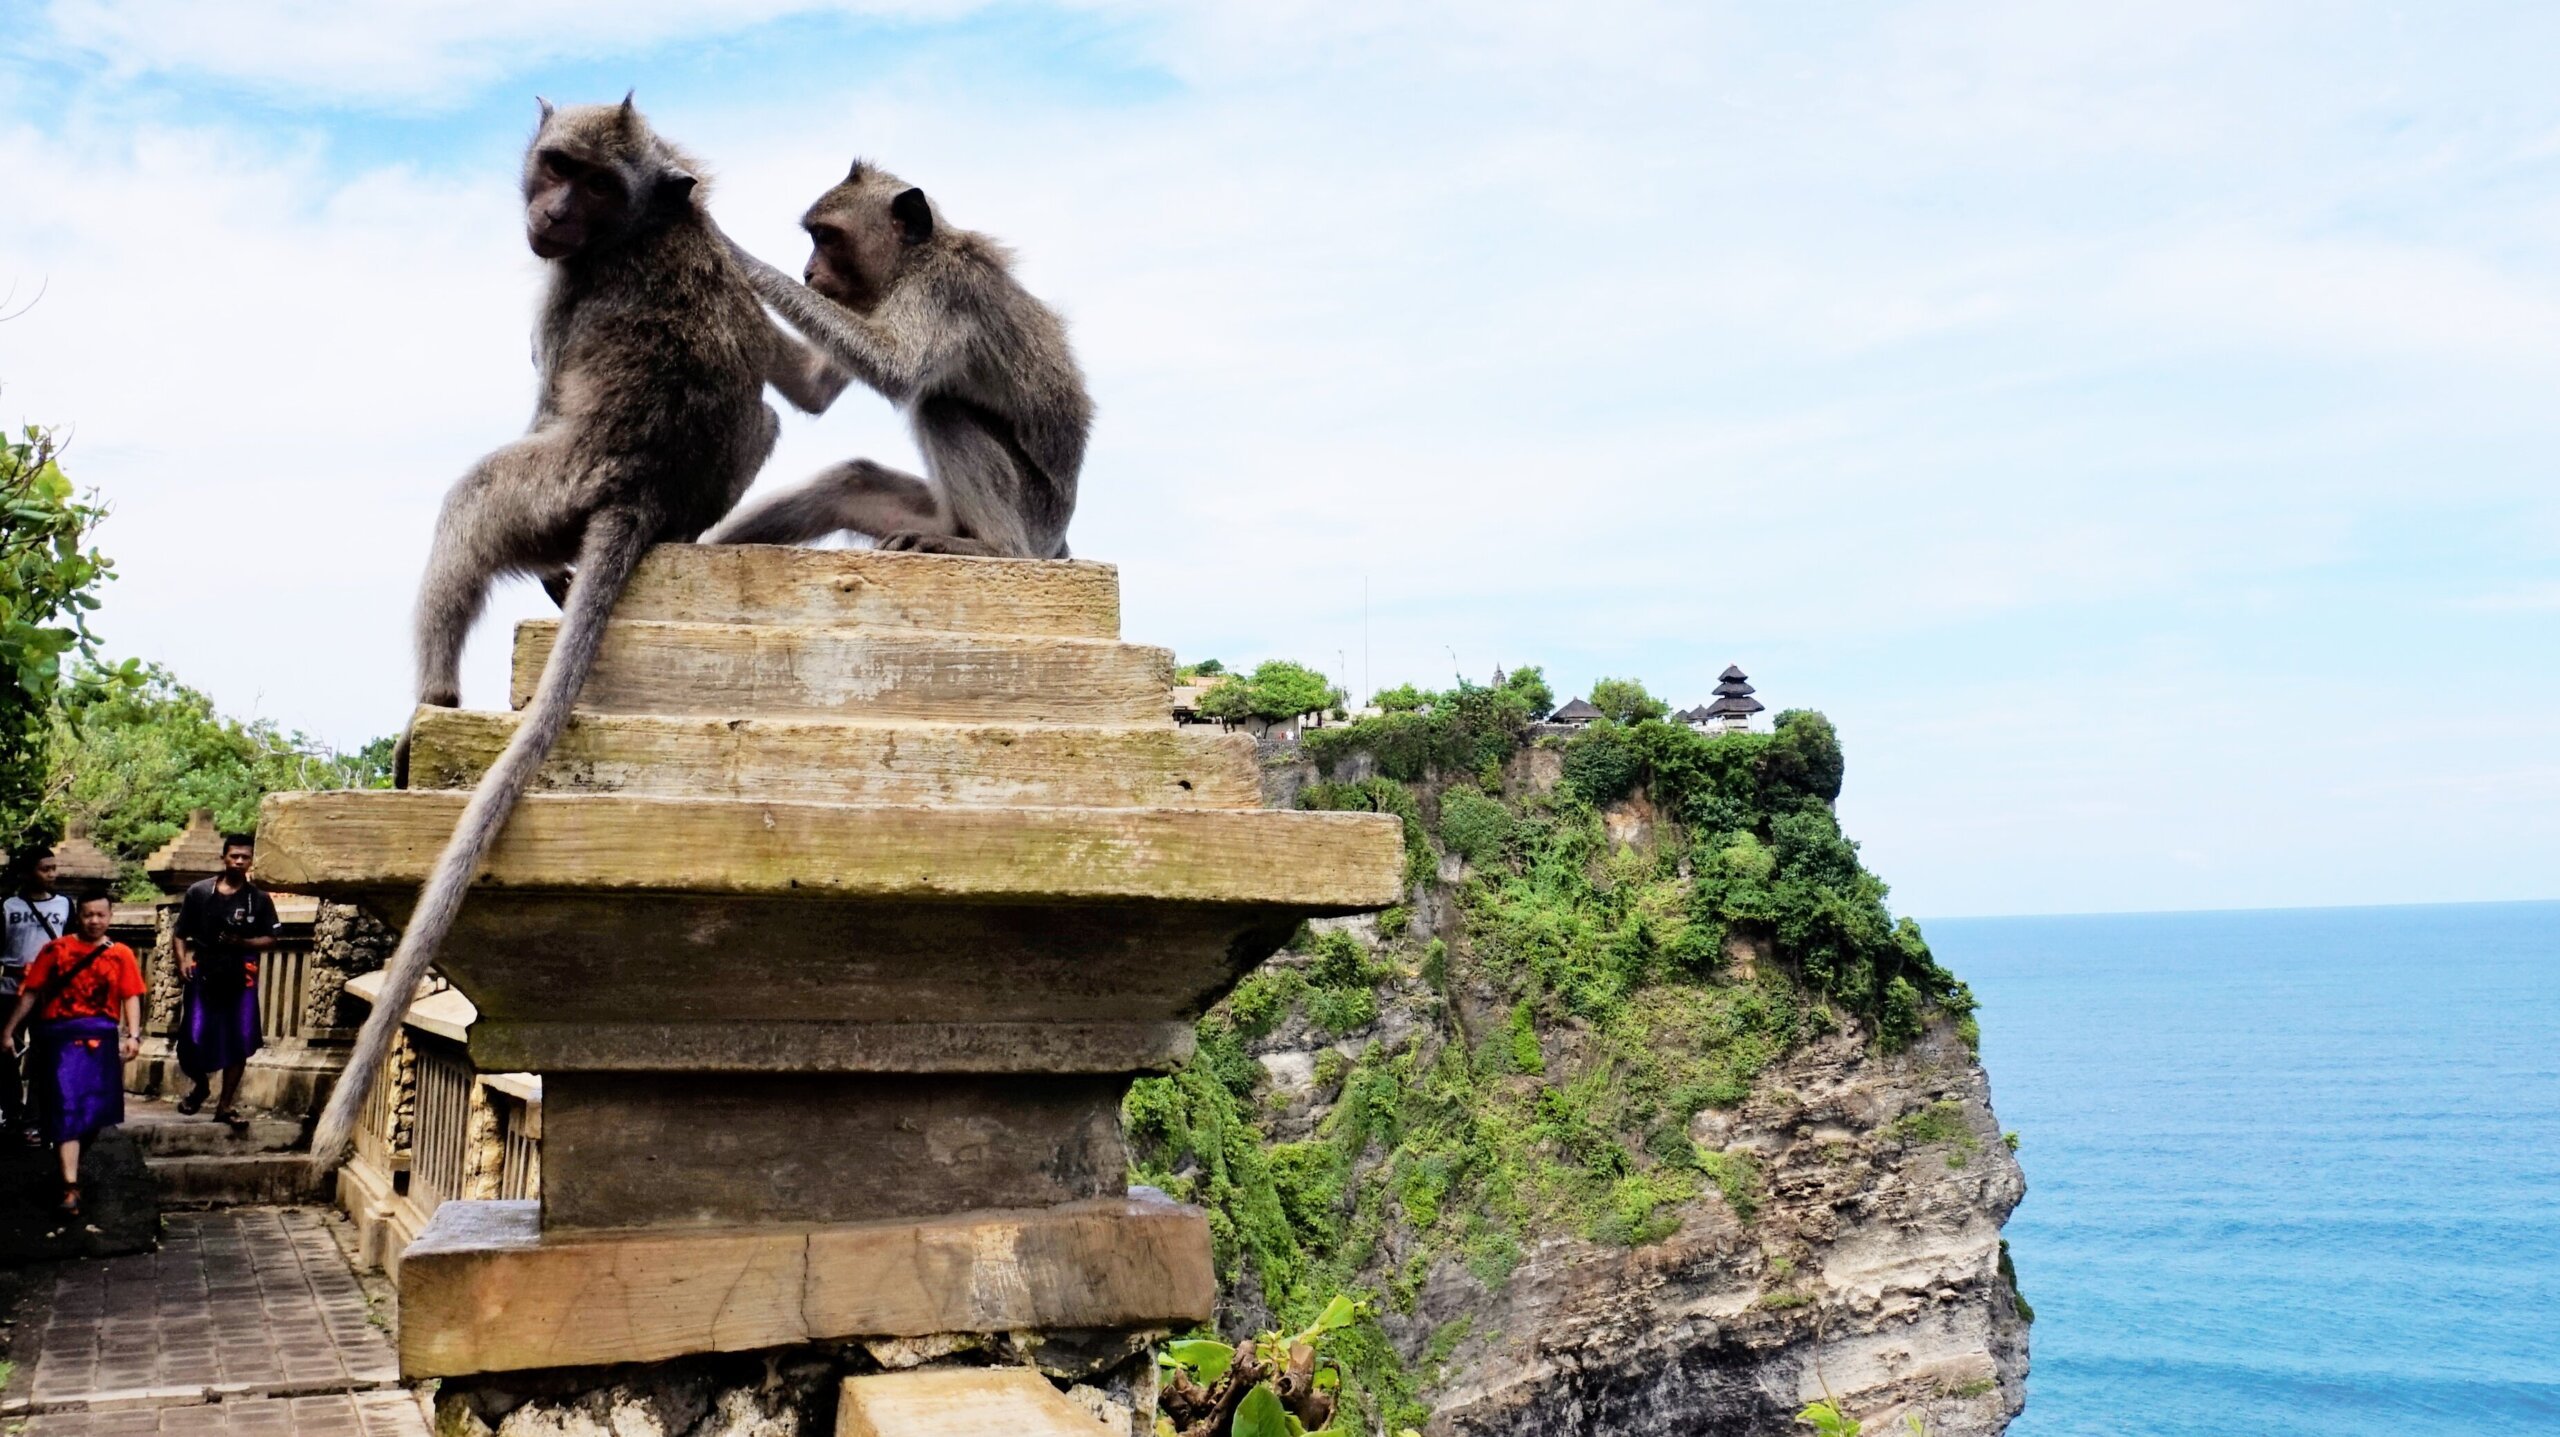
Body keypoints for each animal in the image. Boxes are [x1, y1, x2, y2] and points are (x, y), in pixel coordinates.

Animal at [317, 97, 798, 1178]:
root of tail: (641, 484)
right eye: (554, 166)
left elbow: (535, 395)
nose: (549, 214)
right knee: (765, 423)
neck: (645, 226)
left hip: (552, 483)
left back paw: (435, 696)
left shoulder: (561, 300)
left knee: (469, 505)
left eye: (589, 180)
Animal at [706, 161, 1095, 555]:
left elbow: (895, 368)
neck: (914, 259)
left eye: (826, 237)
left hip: (1032, 518)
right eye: (816, 237)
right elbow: (812, 388)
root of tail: (1056, 543)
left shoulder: (941, 289)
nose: (807, 273)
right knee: (847, 482)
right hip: (937, 516)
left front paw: (738, 256)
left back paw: (994, 548)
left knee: (941, 407)